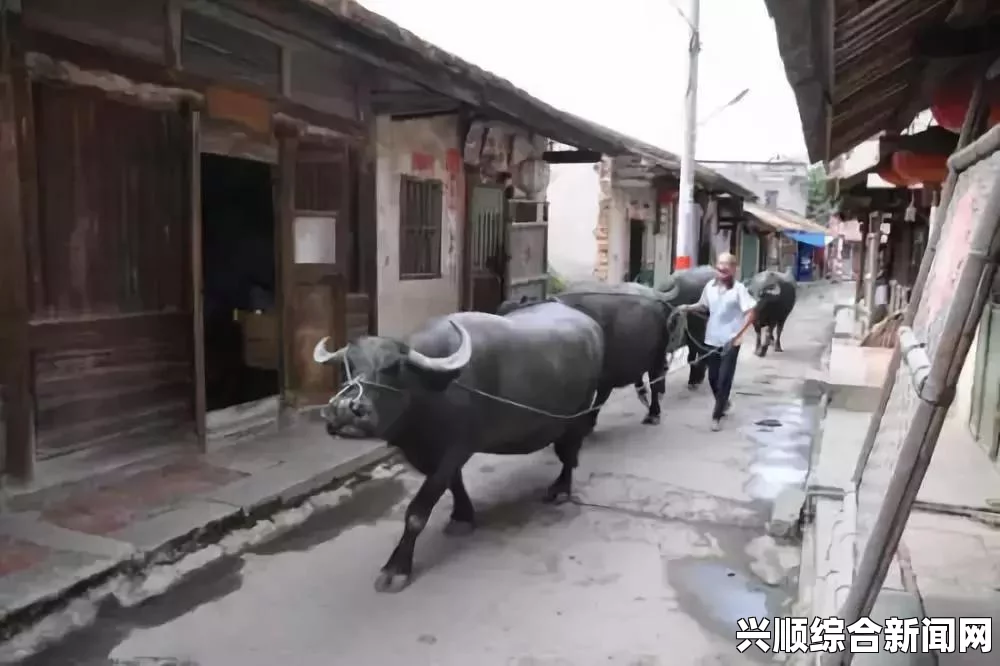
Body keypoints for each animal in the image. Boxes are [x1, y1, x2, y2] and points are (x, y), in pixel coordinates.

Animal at [310, 300, 600, 592]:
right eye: (346, 365)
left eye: (393, 367)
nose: (345, 411)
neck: (431, 391)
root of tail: (591, 324)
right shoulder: (432, 453)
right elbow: (454, 484)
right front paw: (463, 516)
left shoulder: (457, 448)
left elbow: (417, 512)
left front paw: (396, 567)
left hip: (579, 417)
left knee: (569, 456)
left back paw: (560, 490)